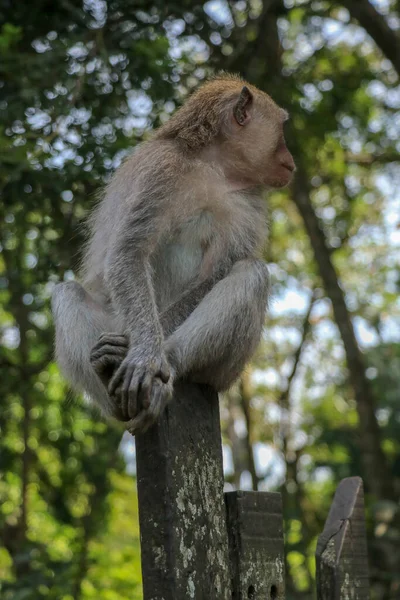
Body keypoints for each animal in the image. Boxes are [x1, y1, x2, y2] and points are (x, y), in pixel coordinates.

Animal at [51, 74, 296, 436]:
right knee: (67, 293)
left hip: (223, 373)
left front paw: (149, 357)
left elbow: (214, 275)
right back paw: (109, 376)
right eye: (282, 129)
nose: (291, 160)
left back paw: (167, 364)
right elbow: (130, 253)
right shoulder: (163, 171)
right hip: (113, 322)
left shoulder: (249, 205)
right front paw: (145, 354)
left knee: (251, 273)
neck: (212, 167)